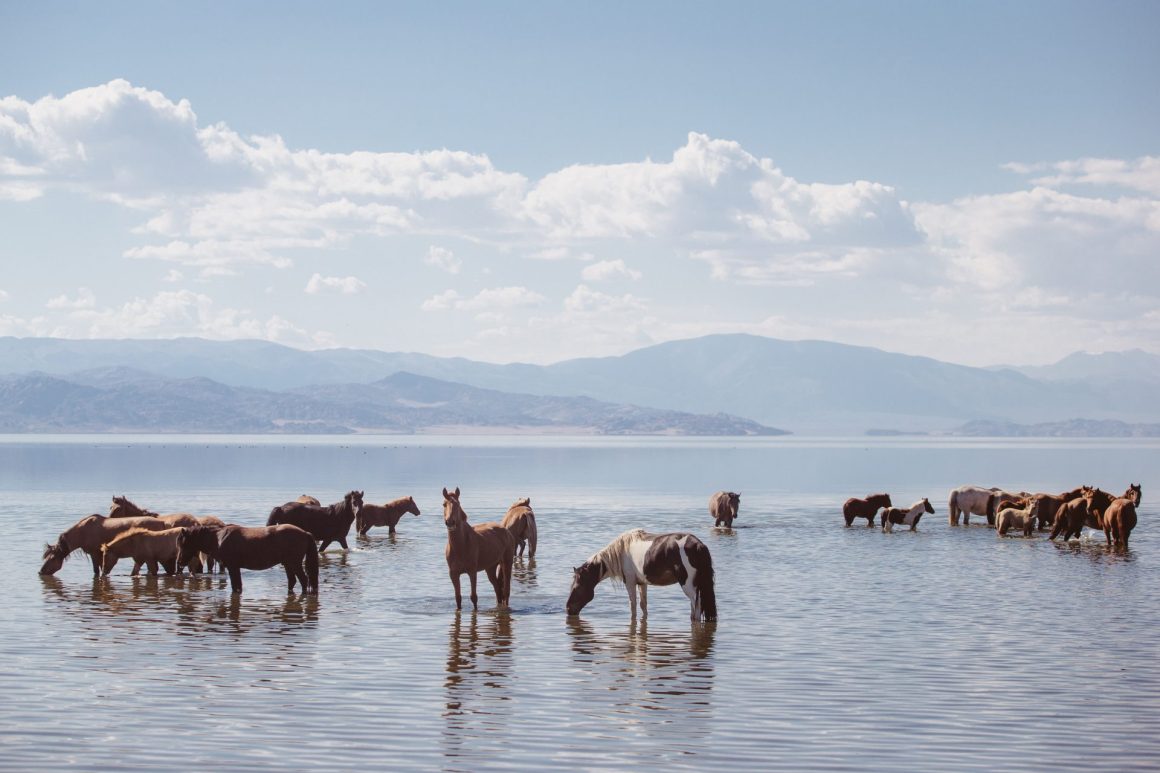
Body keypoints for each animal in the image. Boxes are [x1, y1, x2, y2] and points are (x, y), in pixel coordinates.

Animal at [40, 514, 170, 577]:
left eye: (52, 558)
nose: (41, 572)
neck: (81, 534)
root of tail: (163, 523)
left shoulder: (95, 553)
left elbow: (97, 571)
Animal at [177, 524, 319, 595]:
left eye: (183, 544)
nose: (179, 562)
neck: (219, 538)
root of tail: (305, 533)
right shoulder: (235, 568)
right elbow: (237, 586)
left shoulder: (233, 567)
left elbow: (235, 586)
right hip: (288, 564)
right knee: (292, 581)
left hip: (294, 563)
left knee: (303, 580)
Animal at [565, 528, 717, 622]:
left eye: (576, 587)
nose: (568, 609)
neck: (621, 553)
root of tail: (698, 545)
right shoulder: (642, 583)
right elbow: (643, 606)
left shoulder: (630, 583)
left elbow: (632, 606)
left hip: (689, 587)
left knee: (696, 610)